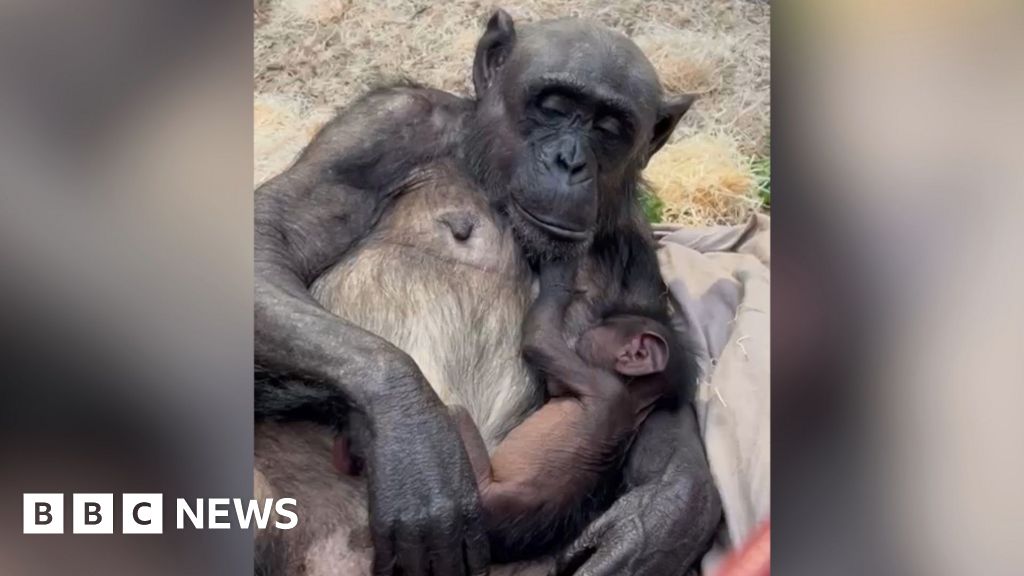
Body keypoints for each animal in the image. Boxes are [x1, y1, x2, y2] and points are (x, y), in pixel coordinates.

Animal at [254, 10, 722, 576]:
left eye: (609, 128)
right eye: (553, 107)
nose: (570, 161)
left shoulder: (634, 242)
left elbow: (661, 383)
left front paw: (655, 524)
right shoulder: (379, 126)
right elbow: (273, 234)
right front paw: (416, 437)